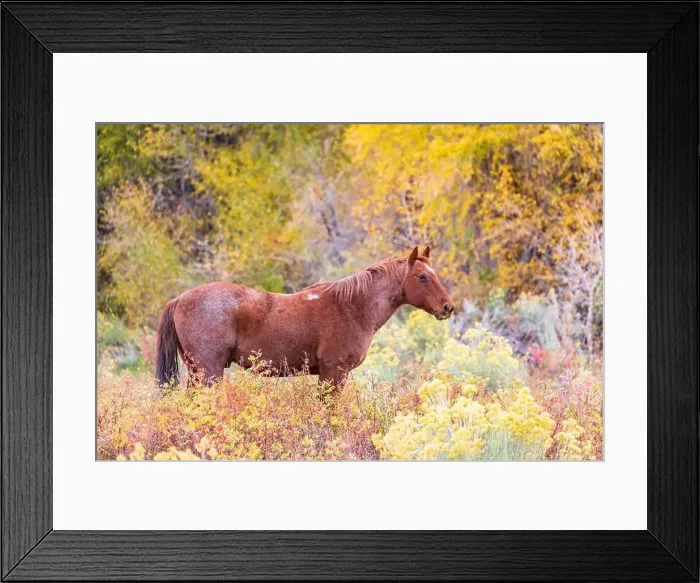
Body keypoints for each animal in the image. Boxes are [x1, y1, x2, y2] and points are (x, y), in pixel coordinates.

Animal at [155, 245, 455, 395]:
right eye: (422, 276)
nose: (448, 307)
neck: (352, 307)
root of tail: (180, 298)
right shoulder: (334, 372)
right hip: (209, 371)